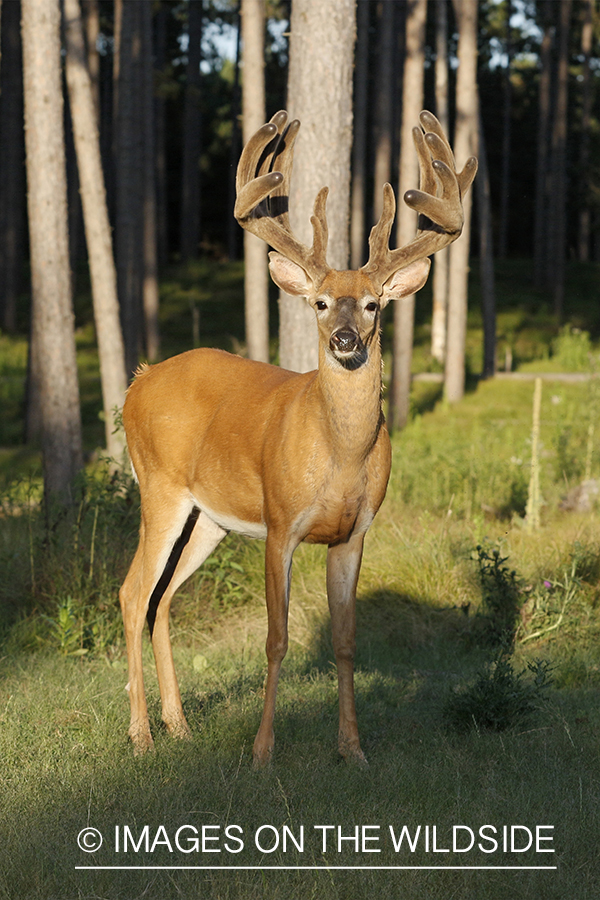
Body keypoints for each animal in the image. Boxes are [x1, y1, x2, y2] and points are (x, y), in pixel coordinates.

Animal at [120, 107, 478, 768]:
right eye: (319, 302)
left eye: (372, 304)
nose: (344, 339)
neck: (340, 455)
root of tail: (140, 379)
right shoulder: (282, 522)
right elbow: (277, 638)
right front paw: (262, 752)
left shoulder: (354, 532)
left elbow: (345, 641)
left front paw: (353, 749)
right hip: (158, 488)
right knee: (135, 594)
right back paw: (141, 735)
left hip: (208, 517)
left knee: (165, 599)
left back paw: (178, 726)